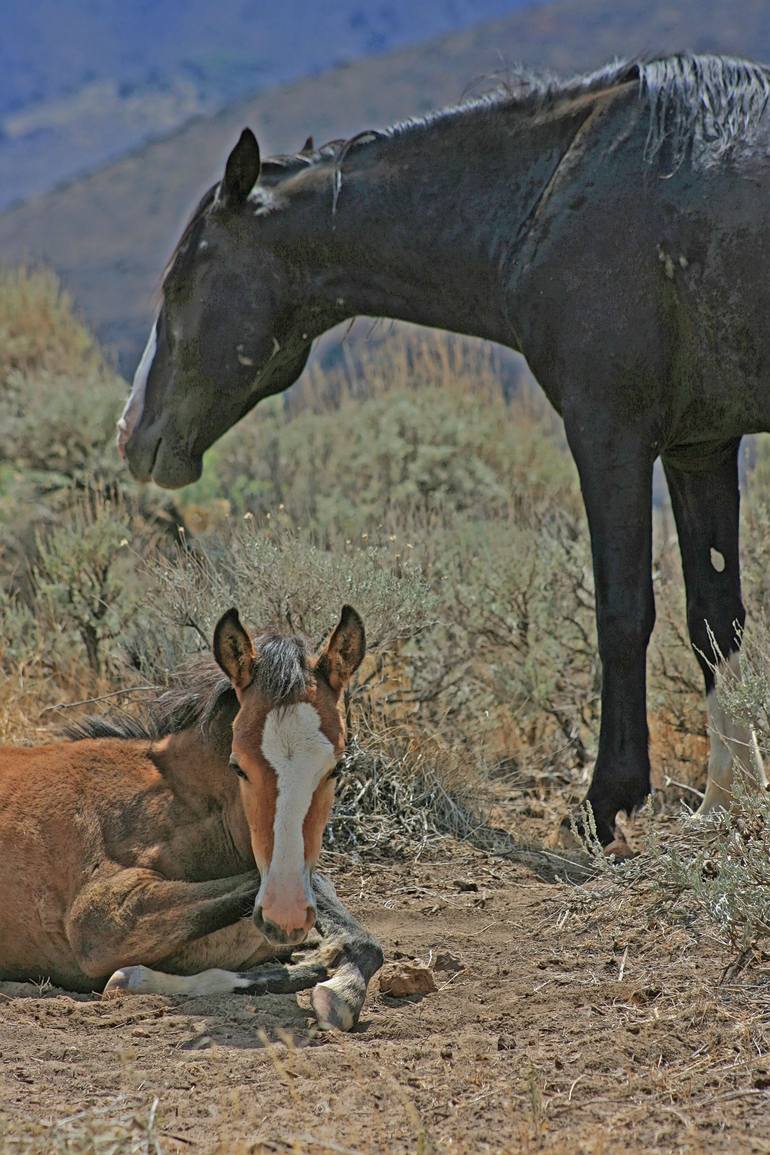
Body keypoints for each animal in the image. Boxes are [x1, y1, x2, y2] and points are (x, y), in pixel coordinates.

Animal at [118, 54, 770, 845]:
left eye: (181, 281)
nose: (132, 433)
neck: (554, 197)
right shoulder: (699, 445)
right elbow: (716, 616)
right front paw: (730, 800)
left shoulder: (609, 433)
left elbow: (623, 614)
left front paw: (607, 800)